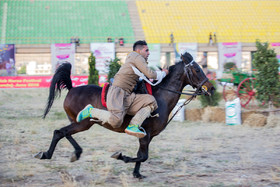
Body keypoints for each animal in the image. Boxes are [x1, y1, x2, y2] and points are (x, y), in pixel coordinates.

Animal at [34, 51, 214, 178]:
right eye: (197, 69)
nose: (211, 88)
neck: (161, 96)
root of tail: (72, 89)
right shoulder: (146, 135)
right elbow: (143, 156)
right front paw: (121, 157)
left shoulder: (147, 136)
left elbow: (141, 155)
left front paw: (136, 173)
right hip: (84, 123)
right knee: (60, 132)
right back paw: (47, 154)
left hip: (80, 123)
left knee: (64, 133)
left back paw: (74, 153)